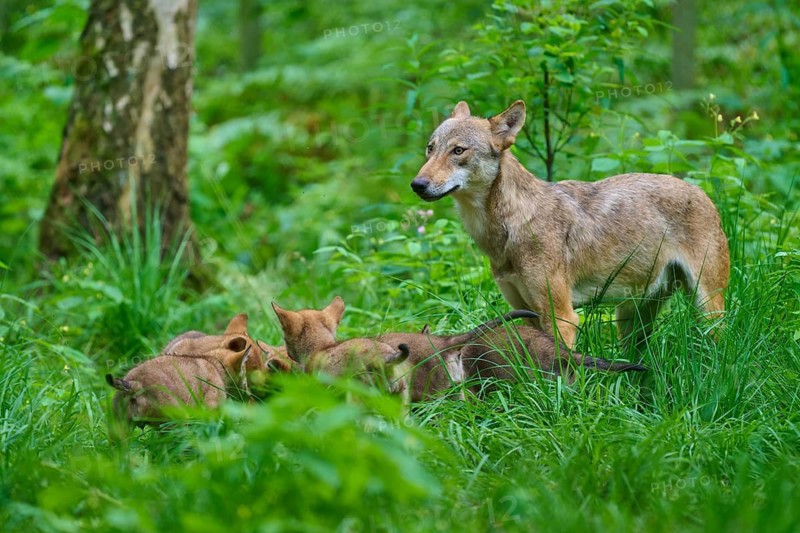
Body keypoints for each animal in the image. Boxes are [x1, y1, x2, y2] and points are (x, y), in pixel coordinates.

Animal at [411, 100, 730, 348]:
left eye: (458, 151)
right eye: (430, 149)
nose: (417, 184)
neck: (509, 228)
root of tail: (701, 192)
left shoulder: (561, 317)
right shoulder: (526, 313)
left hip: (707, 308)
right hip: (631, 319)